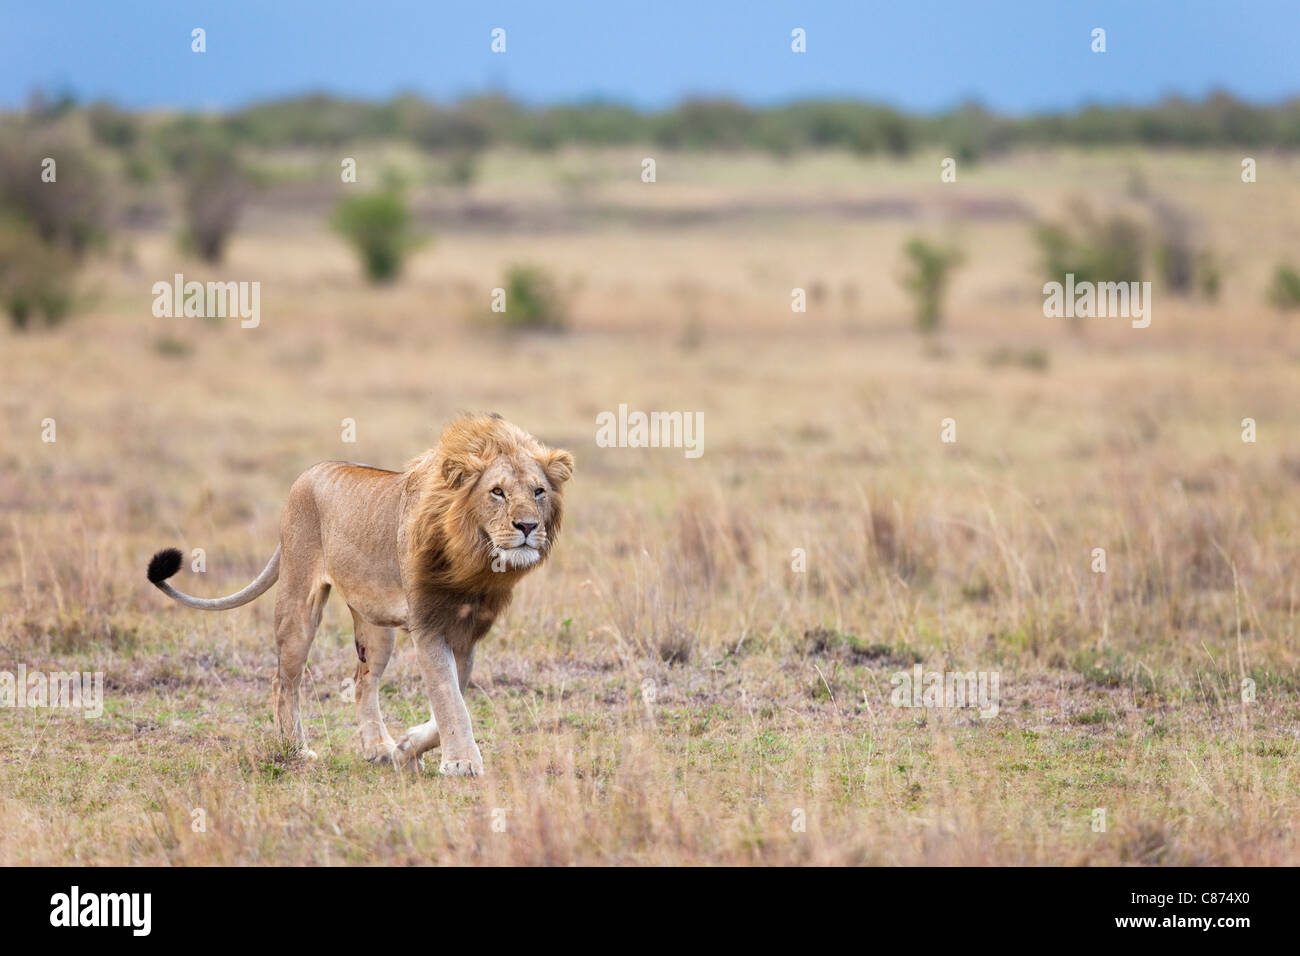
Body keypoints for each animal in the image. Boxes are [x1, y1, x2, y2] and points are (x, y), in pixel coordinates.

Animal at [146, 413, 573, 777]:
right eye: (497, 492)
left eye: (538, 492)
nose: (528, 526)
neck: (476, 560)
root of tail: (311, 471)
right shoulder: (429, 627)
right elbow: (450, 701)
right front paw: (461, 763)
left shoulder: (465, 633)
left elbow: (453, 699)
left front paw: (407, 747)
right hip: (298, 602)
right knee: (284, 680)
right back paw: (296, 749)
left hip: (376, 627)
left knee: (362, 681)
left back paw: (379, 748)